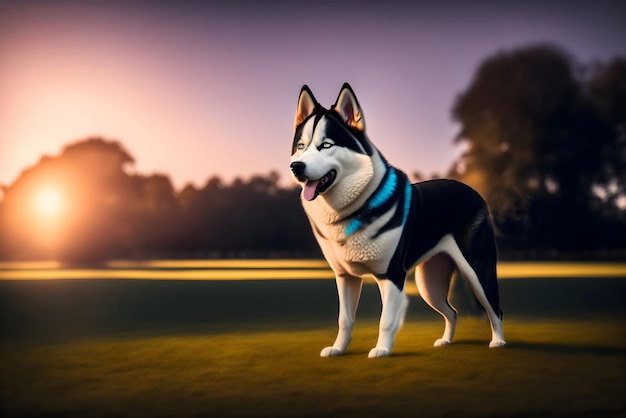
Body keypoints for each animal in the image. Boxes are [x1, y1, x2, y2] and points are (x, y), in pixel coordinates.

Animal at [290, 83, 504, 358]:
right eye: (300, 146)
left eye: (326, 145)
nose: (296, 166)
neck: (353, 210)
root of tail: (473, 192)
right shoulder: (345, 277)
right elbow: (345, 319)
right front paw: (338, 349)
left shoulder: (391, 275)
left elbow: (386, 320)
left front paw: (382, 350)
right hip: (429, 284)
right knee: (452, 312)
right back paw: (446, 341)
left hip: (476, 270)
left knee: (495, 308)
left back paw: (498, 342)